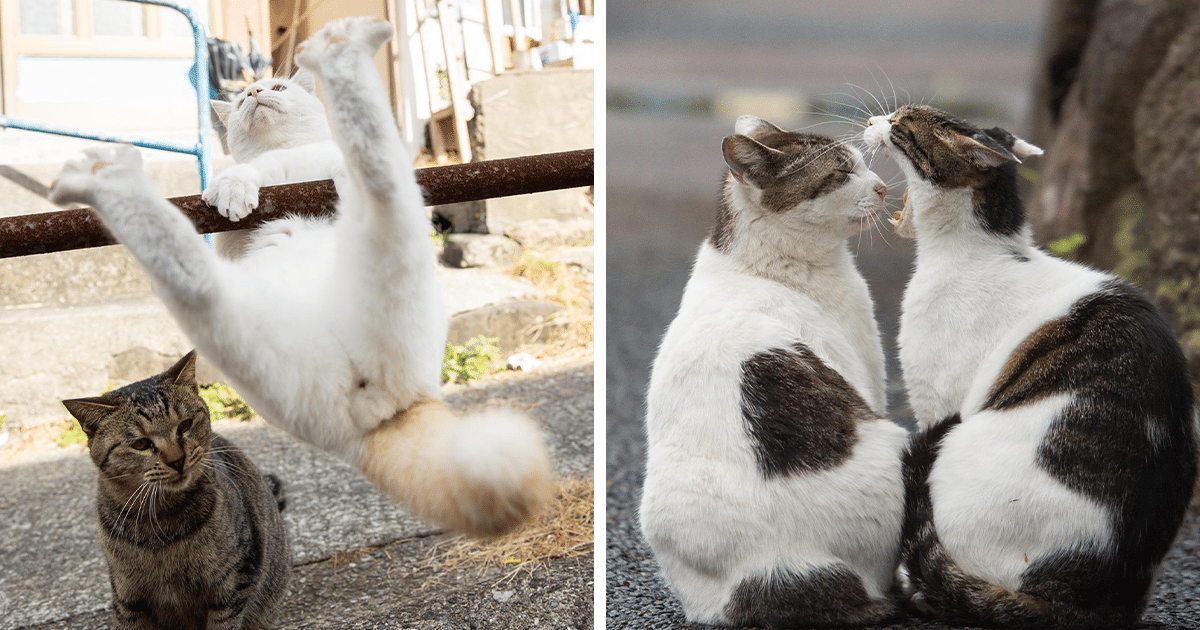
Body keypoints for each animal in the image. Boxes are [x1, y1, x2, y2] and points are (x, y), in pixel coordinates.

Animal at [49, 15, 549, 535]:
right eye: (244, 98)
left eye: (277, 86)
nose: (254, 92)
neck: (284, 155)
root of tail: (392, 408)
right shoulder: (231, 236)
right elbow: (240, 179)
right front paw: (234, 190)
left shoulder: (317, 162)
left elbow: (326, 161)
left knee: (375, 173)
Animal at [643, 115, 902, 624]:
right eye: (841, 173)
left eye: (862, 164)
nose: (883, 188)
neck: (761, 265)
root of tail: (774, 566)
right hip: (893, 441)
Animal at [868, 103, 1195, 624]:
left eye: (901, 122)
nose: (872, 121)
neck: (982, 250)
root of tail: (1083, 601)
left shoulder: (938, 403)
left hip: (958, 449)